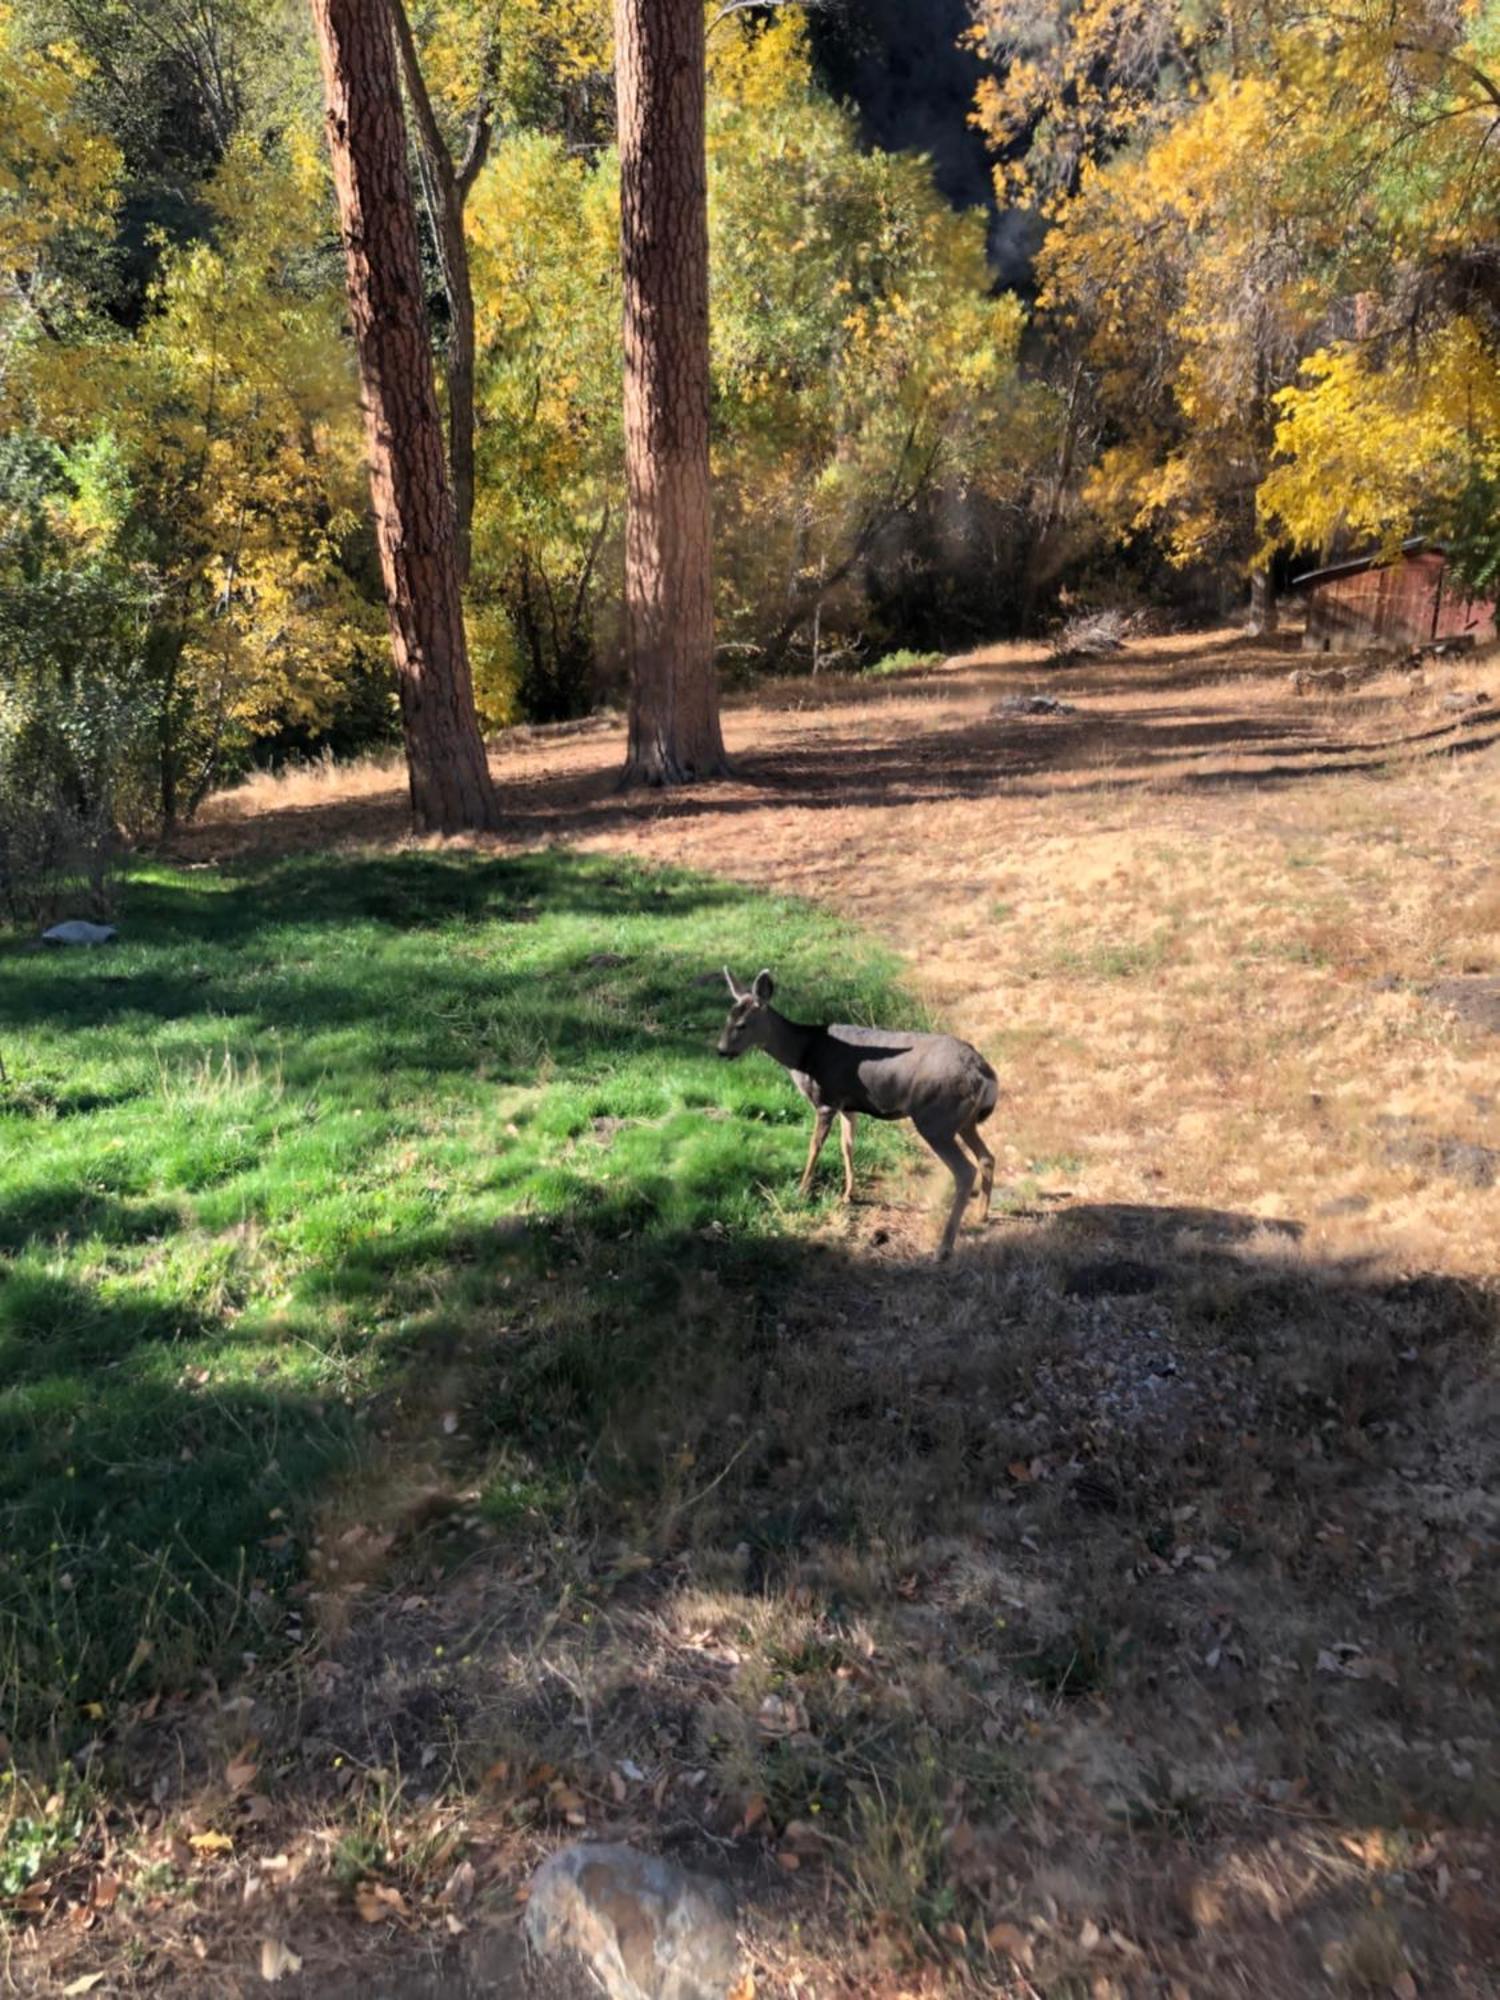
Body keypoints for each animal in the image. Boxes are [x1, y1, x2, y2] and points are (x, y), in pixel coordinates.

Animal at [716, 964, 1000, 1256]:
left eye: (742, 1024)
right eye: (727, 1019)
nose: (721, 1050)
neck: (802, 1054)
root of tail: (984, 1073)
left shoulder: (826, 1099)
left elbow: (815, 1146)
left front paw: (802, 1191)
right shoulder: (847, 1104)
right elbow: (847, 1145)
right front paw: (847, 1194)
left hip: (936, 1119)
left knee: (965, 1171)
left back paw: (944, 1247)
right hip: (963, 1121)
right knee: (987, 1157)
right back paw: (981, 1215)